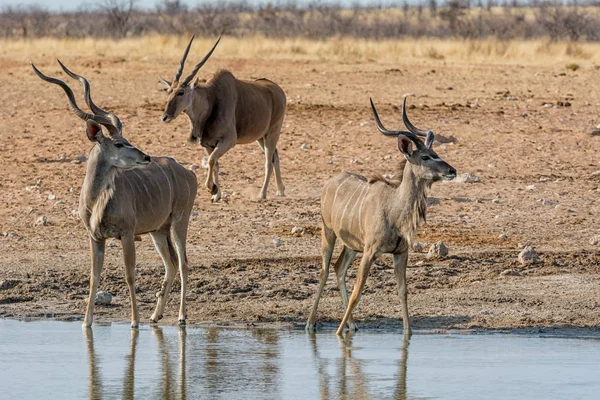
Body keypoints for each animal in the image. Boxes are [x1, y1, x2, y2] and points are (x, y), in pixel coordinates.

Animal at [32, 60, 197, 328]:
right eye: (118, 143)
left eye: (126, 139)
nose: (145, 157)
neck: (96, 203)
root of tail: (187, 172)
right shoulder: (95, 238)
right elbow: (93, 277)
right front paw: (86, 322)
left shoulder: (127, 235)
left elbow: (130, 275)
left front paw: (134, 322)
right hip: (158, 231)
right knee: (171, 264)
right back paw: (156, 315)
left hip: (179, 222)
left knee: (183, 263)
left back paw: (181, 316)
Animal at [161, 35, 288, 202]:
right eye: (169, 91)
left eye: (181, 92)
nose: (165, 116)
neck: (212, 99)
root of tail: (278, 90)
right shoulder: (208, 145)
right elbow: (214, 164)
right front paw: (216, 195)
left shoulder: (228, 141)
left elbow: (211, 160)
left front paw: (212, 188)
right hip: (262, 137)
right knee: (275, 156)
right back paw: (280, 190)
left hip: (273, 132)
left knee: (268, 160)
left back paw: (262, 194)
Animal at [308, 97, 458, 338]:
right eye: (425, 156)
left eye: (436, 153)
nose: (452, 170)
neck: (394, 211)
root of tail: (331, 181)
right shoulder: (370, 252)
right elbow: (357, 292)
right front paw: (339, 334)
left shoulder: (400, 253)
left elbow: (402, 291)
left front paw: (408, 334)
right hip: (328, 233)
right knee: (324, 271)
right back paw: (311, 323)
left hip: (351, 246)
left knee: (338, 269)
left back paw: (353, 325)